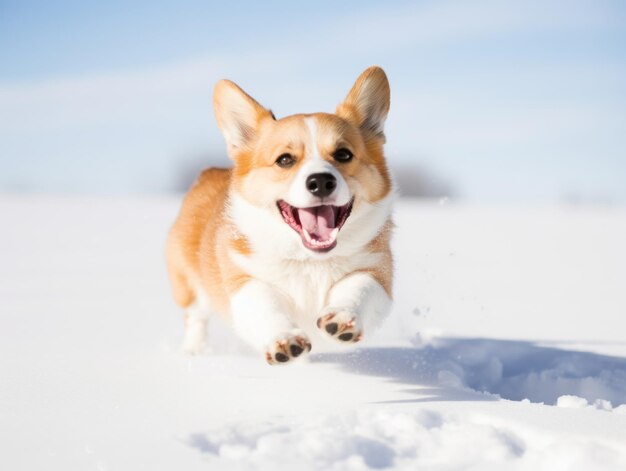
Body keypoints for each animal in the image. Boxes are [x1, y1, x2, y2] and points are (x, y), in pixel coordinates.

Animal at [163, 65, 392, 366]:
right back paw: (194, 352)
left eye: (343, 154)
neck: (310, 261)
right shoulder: (243, 278)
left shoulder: (377, 270)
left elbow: (359, 289)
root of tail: (209, 172)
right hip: (188, 283)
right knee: (195, 318)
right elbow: (265, 305)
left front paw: (343, 318)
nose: (321, 182)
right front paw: (285, 339)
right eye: (285, 160)